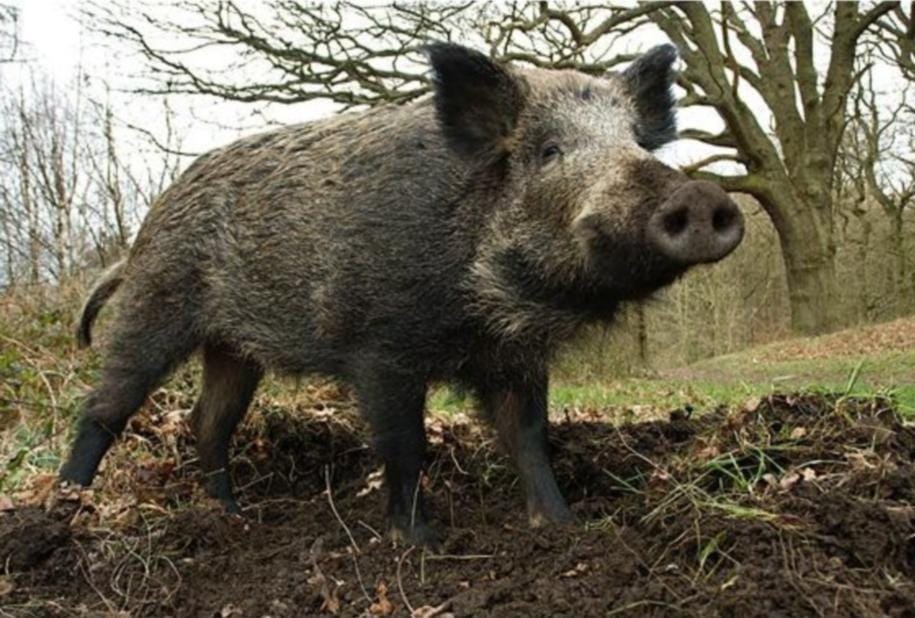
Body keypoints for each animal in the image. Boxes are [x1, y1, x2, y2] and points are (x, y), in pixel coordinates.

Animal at [60, 42, 743, 547]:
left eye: (634, 143)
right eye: (550, 151)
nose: (700, 195)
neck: (486, 304)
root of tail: (145, 228)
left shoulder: (515, 358)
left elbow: (529, 438)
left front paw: (564, 527)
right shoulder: (379, 349)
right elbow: (406, 445)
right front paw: (421, 545)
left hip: (233, 349)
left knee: (209, 420)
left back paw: (235, 517)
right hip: (156, 304)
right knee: (105, 407)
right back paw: (67, 507)